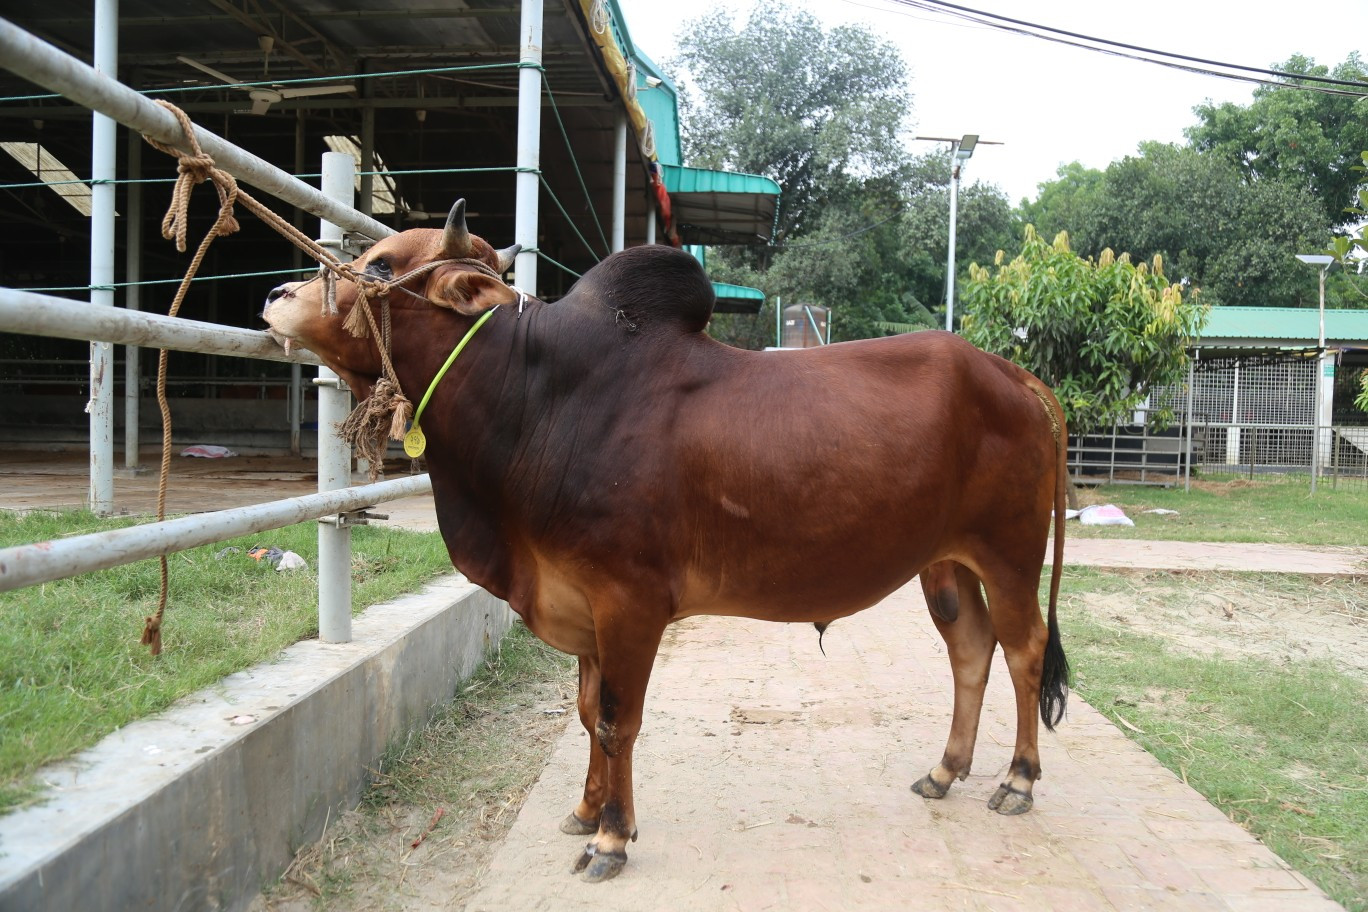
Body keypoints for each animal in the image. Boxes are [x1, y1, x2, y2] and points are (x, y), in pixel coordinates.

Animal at [263, 201, 1070, 883]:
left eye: (379, 266)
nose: (275, 296)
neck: (537, 400)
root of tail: (1012, 371)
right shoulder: (580, 598)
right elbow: (588, 711)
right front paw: (585, 809)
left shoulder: (630, 599)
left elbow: (618, 719)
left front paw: (612, 837)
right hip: (946, 564)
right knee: (971, 650)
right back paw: (945, 770)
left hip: (1010, 553)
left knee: (1024, 650)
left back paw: (1018, 779)